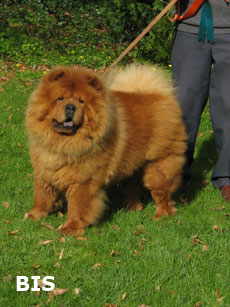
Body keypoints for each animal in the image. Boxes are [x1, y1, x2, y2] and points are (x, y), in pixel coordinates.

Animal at [25, 63, 187, 235]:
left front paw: (71, 229)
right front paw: (34, 215)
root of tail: (160, 95)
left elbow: (77, 207)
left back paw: (161, 217)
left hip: (160, 163)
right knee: (132, 185)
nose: (70, 108)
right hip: (132, 163)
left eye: (81, 101)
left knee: (162, 193)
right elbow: (42, 195)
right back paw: (132, 208)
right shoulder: (44, 171)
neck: (64, 142)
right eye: (60, 98)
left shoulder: (84, 180)